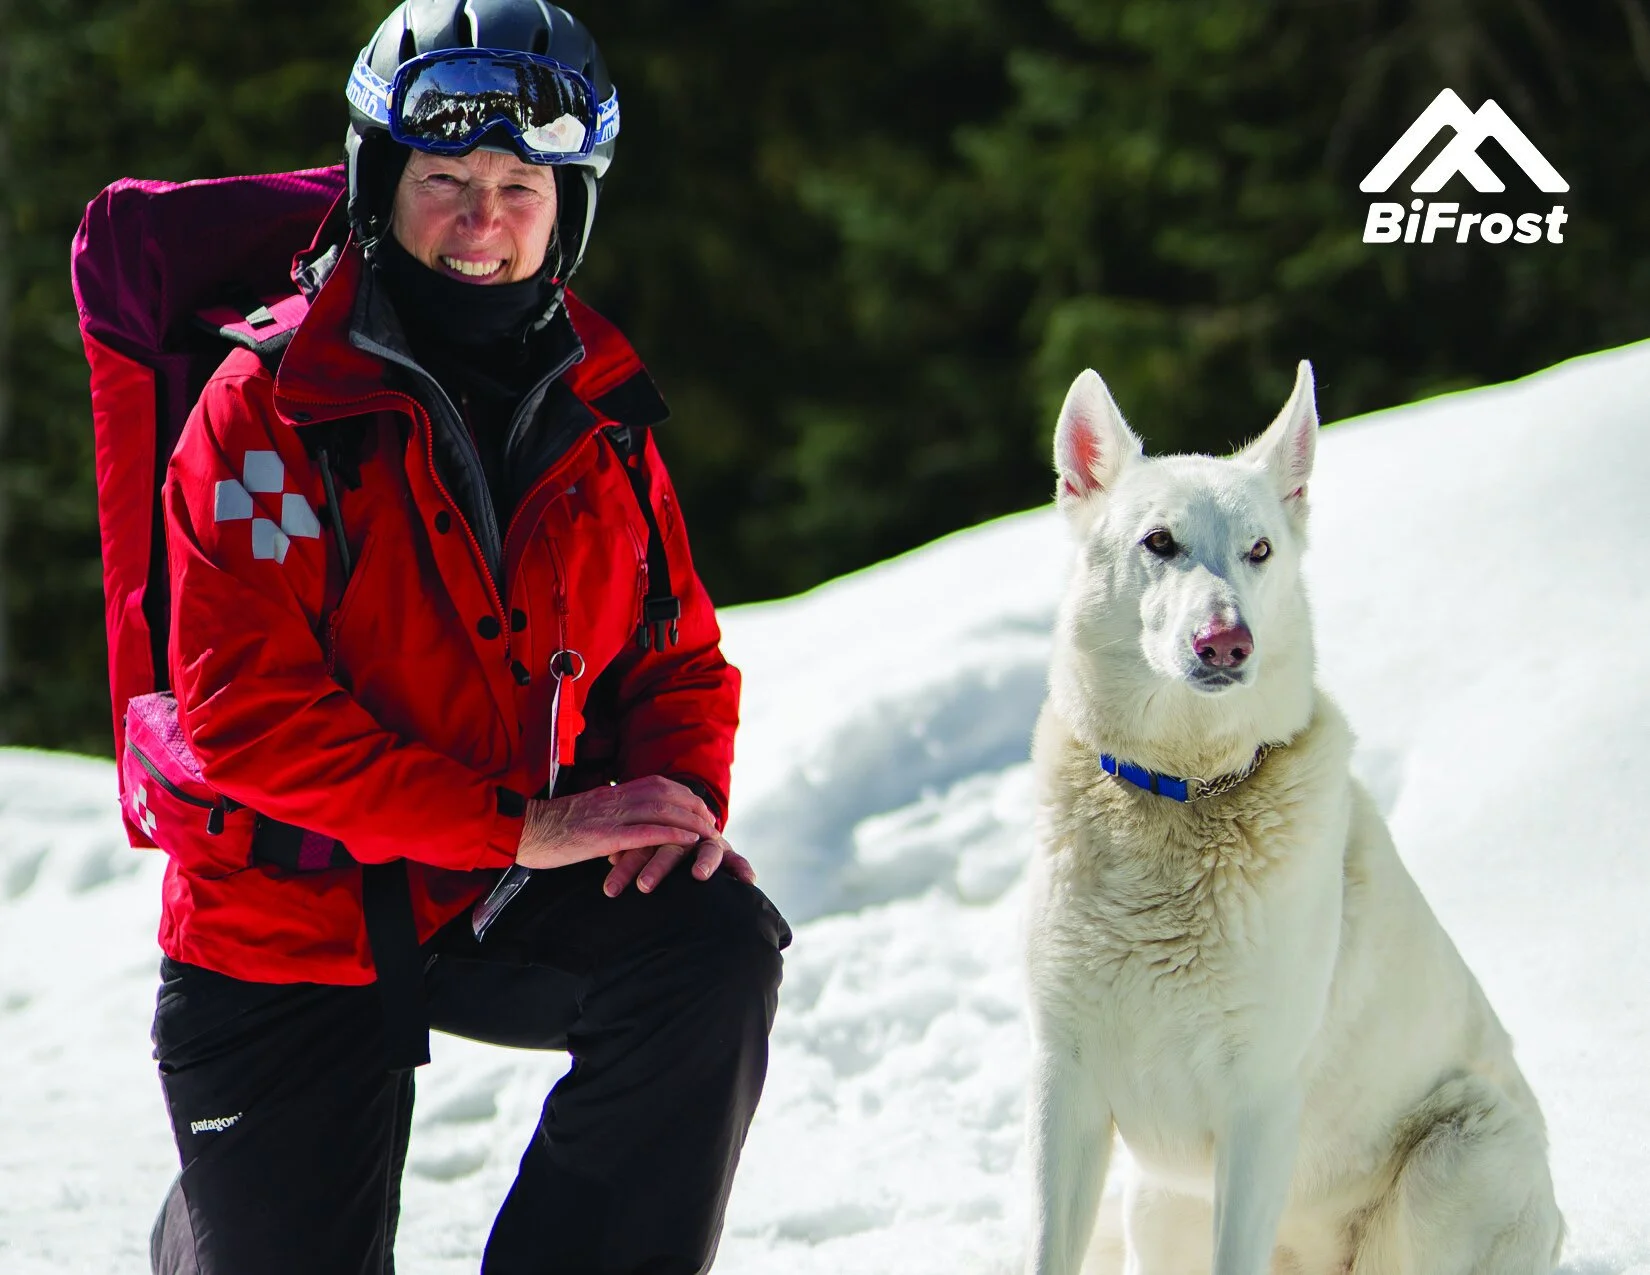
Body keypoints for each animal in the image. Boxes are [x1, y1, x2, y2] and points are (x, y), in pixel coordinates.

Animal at [1022, 362, 1563, 1275]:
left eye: (1260, 551)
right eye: (1159, 542)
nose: (1226, 642)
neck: (1182, 791)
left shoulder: (1258, 1105)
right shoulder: (1066, 1083)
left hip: (1461, 1157)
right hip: (1154, 1200)